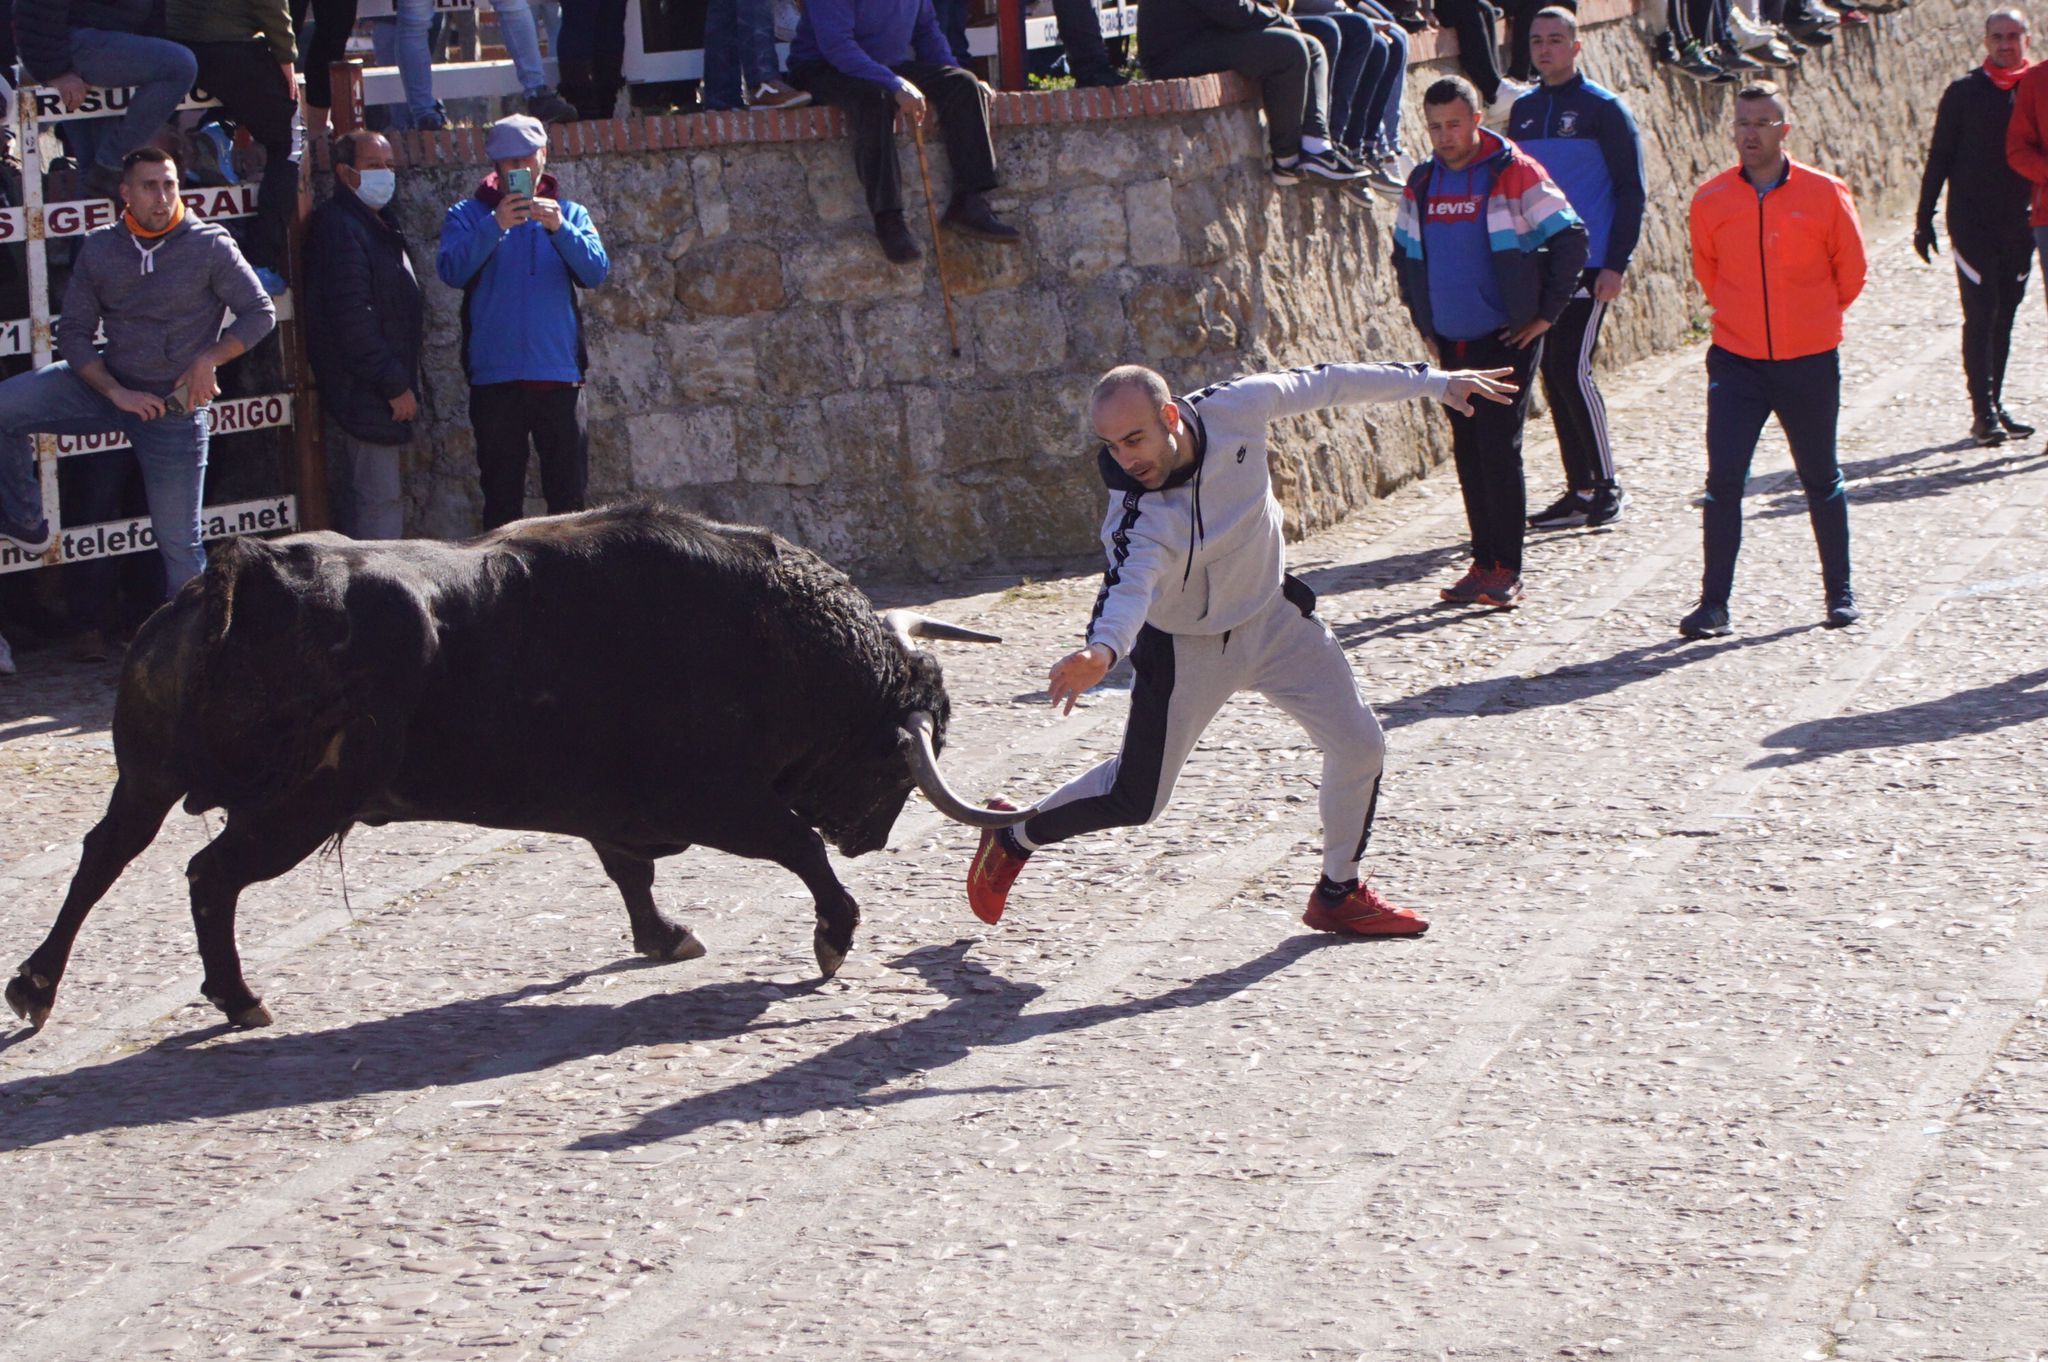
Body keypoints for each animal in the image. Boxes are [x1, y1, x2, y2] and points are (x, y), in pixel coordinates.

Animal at [0, 503, 1024, 1024]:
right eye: (898, 767)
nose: (875, 842)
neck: (778, 638)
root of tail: (245, 574)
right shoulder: (719, 802)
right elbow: (796, 849)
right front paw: (833, 936)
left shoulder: (616, 811)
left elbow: (630, 874)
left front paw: (665, 936)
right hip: (301, 805)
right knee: (209, 876)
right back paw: (239, 998)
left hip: (149, 776)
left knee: (103, 859)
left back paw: (38, 986)